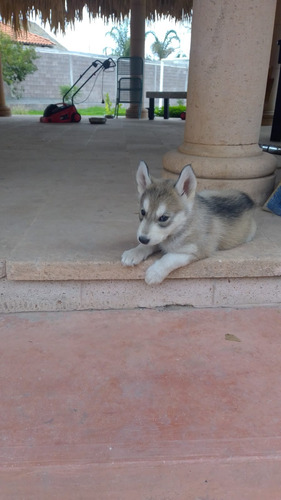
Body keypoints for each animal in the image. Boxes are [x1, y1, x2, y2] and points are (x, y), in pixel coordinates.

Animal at [121, 161, 256, 286]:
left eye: (164, 218)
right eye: (142, 212)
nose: (142, 239)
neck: (181, 227)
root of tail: (247, 197)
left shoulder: (197, 250)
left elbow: (170, 257)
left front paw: (155, 272)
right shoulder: (158, 238)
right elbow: (149, 245)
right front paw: (134, 252)